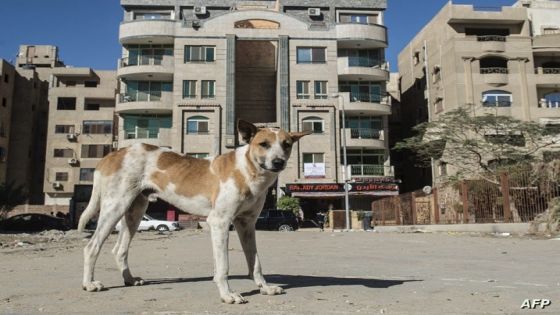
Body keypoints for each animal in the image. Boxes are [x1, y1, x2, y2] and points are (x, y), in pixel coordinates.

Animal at [76, 120, 310, 304]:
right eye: (264, 144)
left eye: (287, 145)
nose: (278, 162)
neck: (247, 170)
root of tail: (113, 154)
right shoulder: (220, 222)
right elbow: (223, 266)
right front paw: (228, 295)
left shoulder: (247, 225)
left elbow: (255, 263)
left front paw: (265, 288)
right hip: (115, 206)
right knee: (91, 247)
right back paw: (89, 283)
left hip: (134, 211)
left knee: (120, 250)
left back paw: (130, 279)